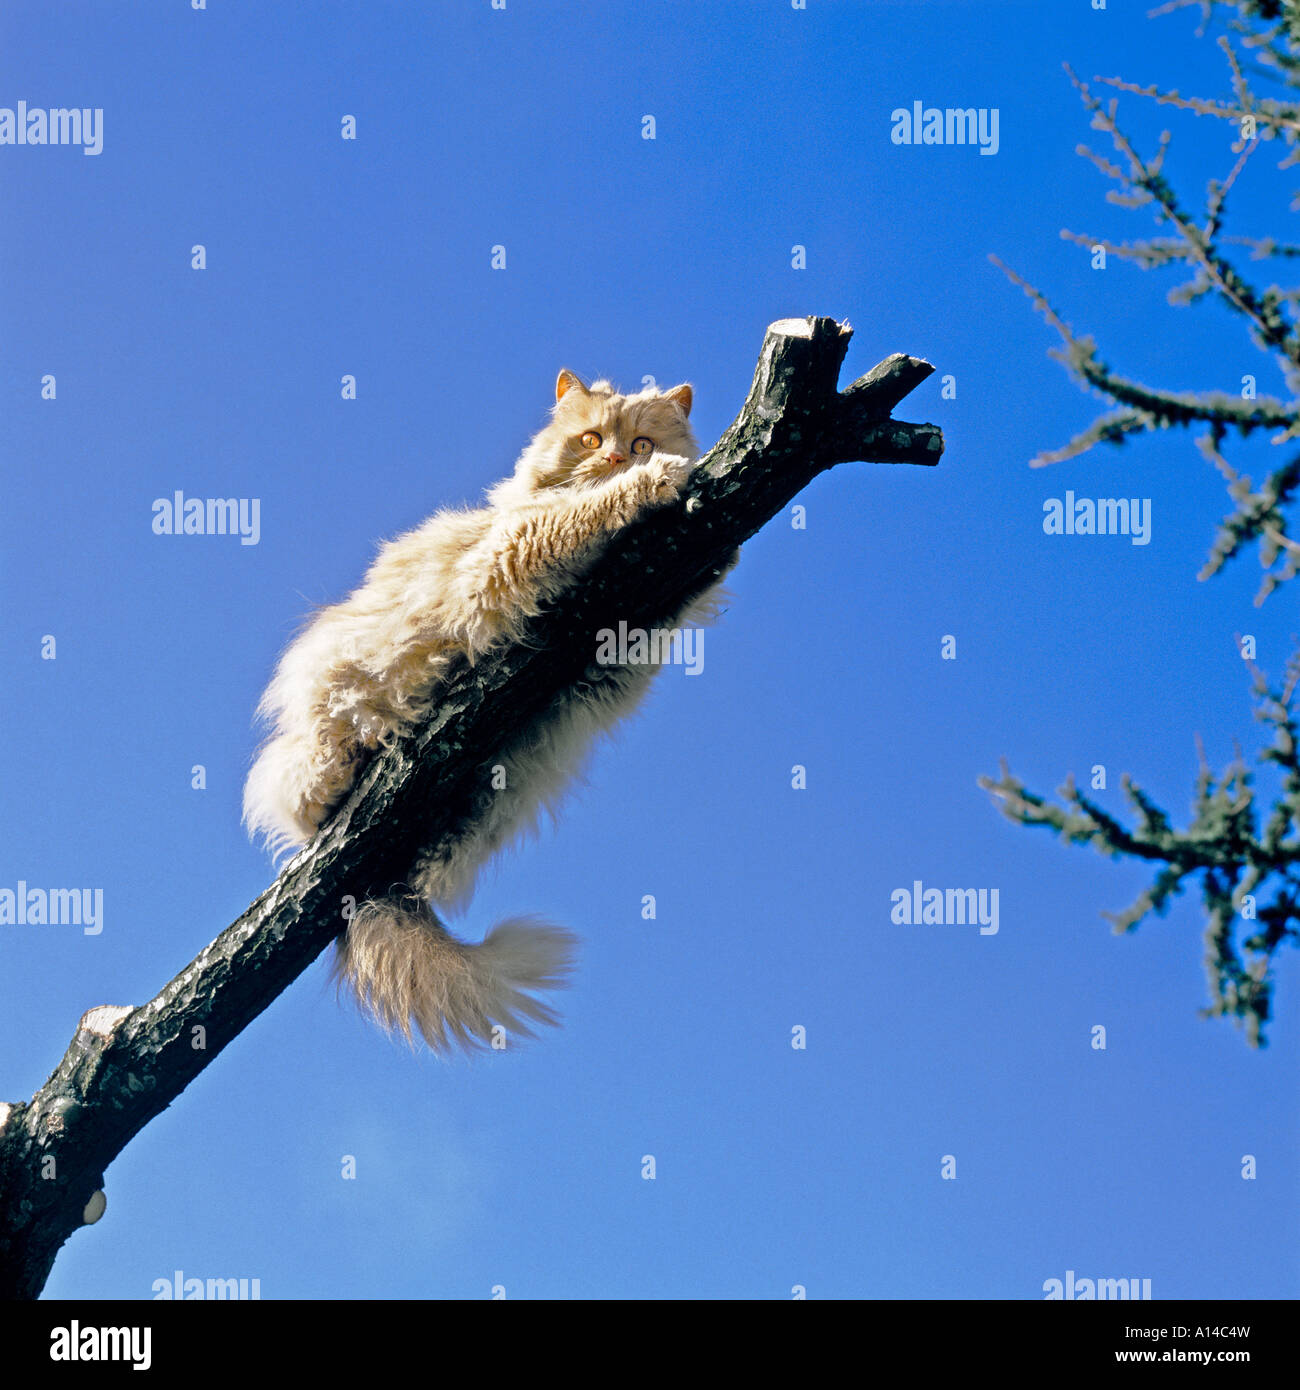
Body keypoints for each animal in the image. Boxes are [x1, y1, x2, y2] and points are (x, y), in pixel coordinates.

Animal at [246, 369, 734, 1050]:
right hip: (320, 725)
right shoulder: (507, 554)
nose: (618, 460)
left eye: (638, 442)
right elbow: (582, 514)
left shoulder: (611, 669)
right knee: (298, 789)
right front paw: (654, 484)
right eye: (591, 440)